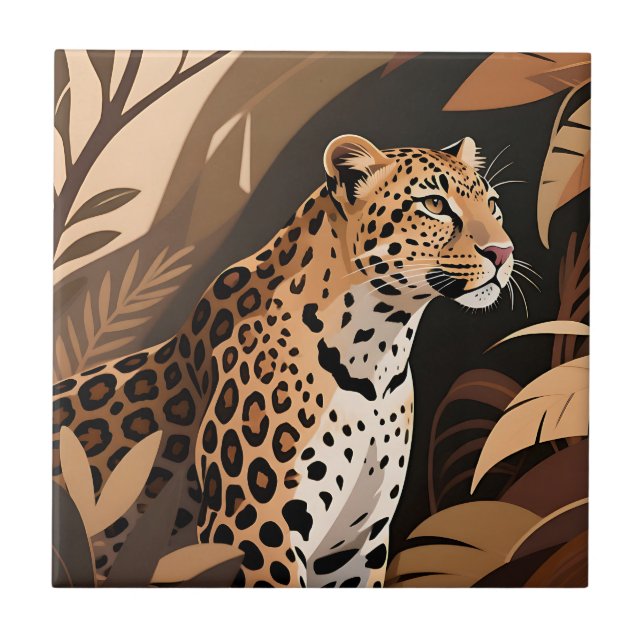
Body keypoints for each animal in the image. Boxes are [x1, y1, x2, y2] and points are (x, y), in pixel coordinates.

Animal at [52, 134, 514, 587]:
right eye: (434, 204)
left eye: (492, 203)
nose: (503, 252)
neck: (377, 358)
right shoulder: (253, 528)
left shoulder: (357, 543)